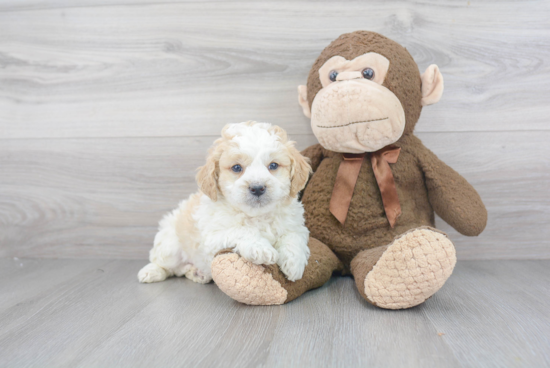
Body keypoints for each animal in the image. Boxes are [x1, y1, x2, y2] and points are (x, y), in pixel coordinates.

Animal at [139, 122, 314, 284]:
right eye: (236, 168)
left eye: (273, 165)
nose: (257, 188)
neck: (257, 216)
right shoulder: (213, 235)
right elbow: (242, 230)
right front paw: (261, 249)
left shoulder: (296, 226)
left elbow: (293, 237)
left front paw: (294, 264)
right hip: (170, 244)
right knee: (165, 265)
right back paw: (150, 272)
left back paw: (197, 273)